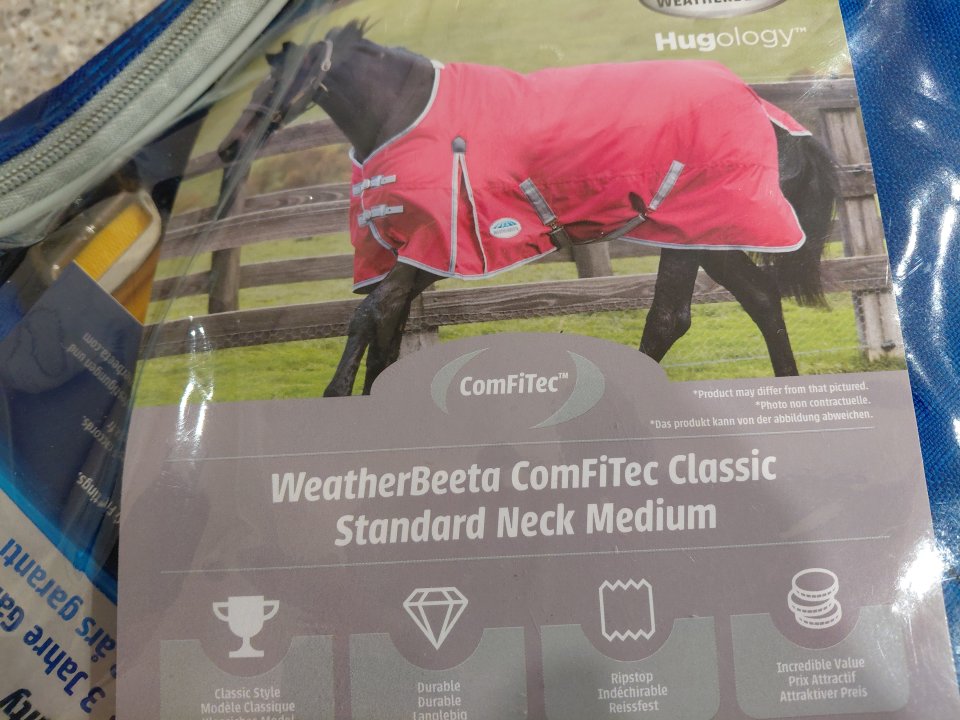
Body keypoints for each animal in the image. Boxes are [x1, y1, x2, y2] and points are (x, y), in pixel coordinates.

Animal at [217, 21, 838, 397]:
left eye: (281, 79)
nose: (228, 147)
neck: (414, 119)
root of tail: (765, 110)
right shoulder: (420, 258)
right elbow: (386, 327)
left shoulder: (437, 252)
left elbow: (370, 317)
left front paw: (337, 396)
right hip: (705, 237)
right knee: (759, 299)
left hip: (690, 233)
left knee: (671, 317)